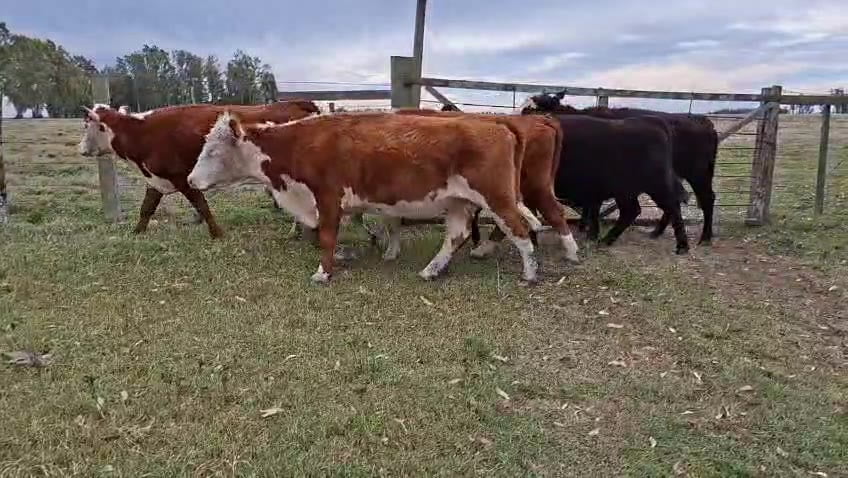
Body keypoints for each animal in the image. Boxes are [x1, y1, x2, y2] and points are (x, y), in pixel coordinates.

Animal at [78, 101, 319, 238]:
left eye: (86, 124)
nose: (80, 148)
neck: (143, 133)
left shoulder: (182, 178)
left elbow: (202, 206)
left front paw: (217, 233)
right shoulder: (156, 179)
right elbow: (146, 208)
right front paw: (137, 232)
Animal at [186, 111, 542, 284]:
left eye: (213, 151)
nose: (190, 179)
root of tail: (496, 121)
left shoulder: (327, 197)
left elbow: (327, 236)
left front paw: (323, 273)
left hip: (498, 197)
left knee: (520, 230)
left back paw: (530, 275)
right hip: (458, 201)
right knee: (457, 235)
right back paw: (431, 270)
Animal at [522, 92, 718, 244]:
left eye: (533, 109)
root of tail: (701, 120)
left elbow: (593, 205)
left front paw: (589, 230)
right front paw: (586, 228)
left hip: (696, 173)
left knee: (706, 198)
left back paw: (705, 237)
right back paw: (657, 232)